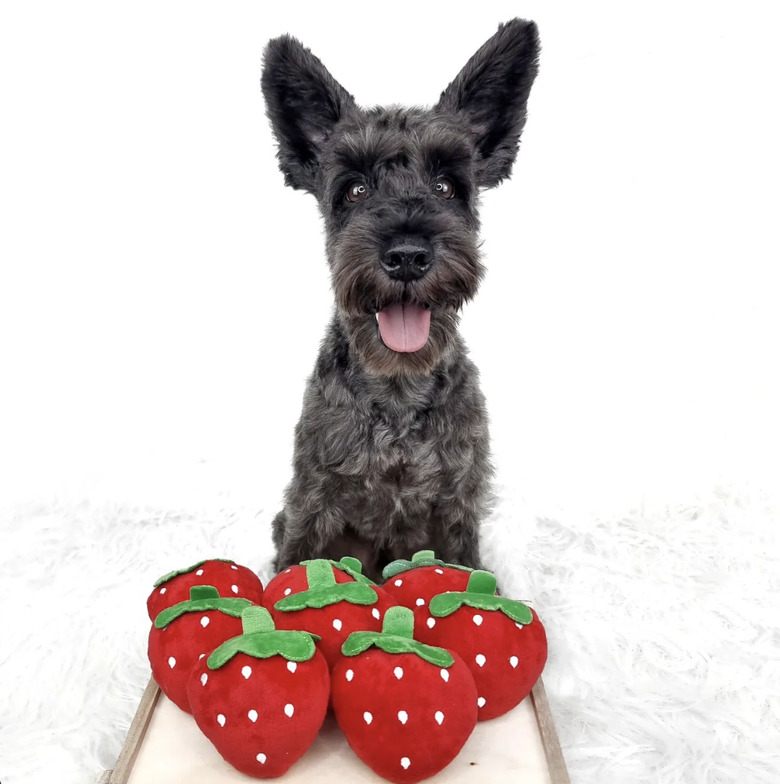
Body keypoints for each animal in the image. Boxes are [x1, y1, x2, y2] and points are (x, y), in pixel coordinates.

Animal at [258, 19, 540, 580]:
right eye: (356, 189)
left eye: (447, 185)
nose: (407, 255)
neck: (398, 393)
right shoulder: (311, 501)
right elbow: (296, 560)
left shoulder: (457, 505)